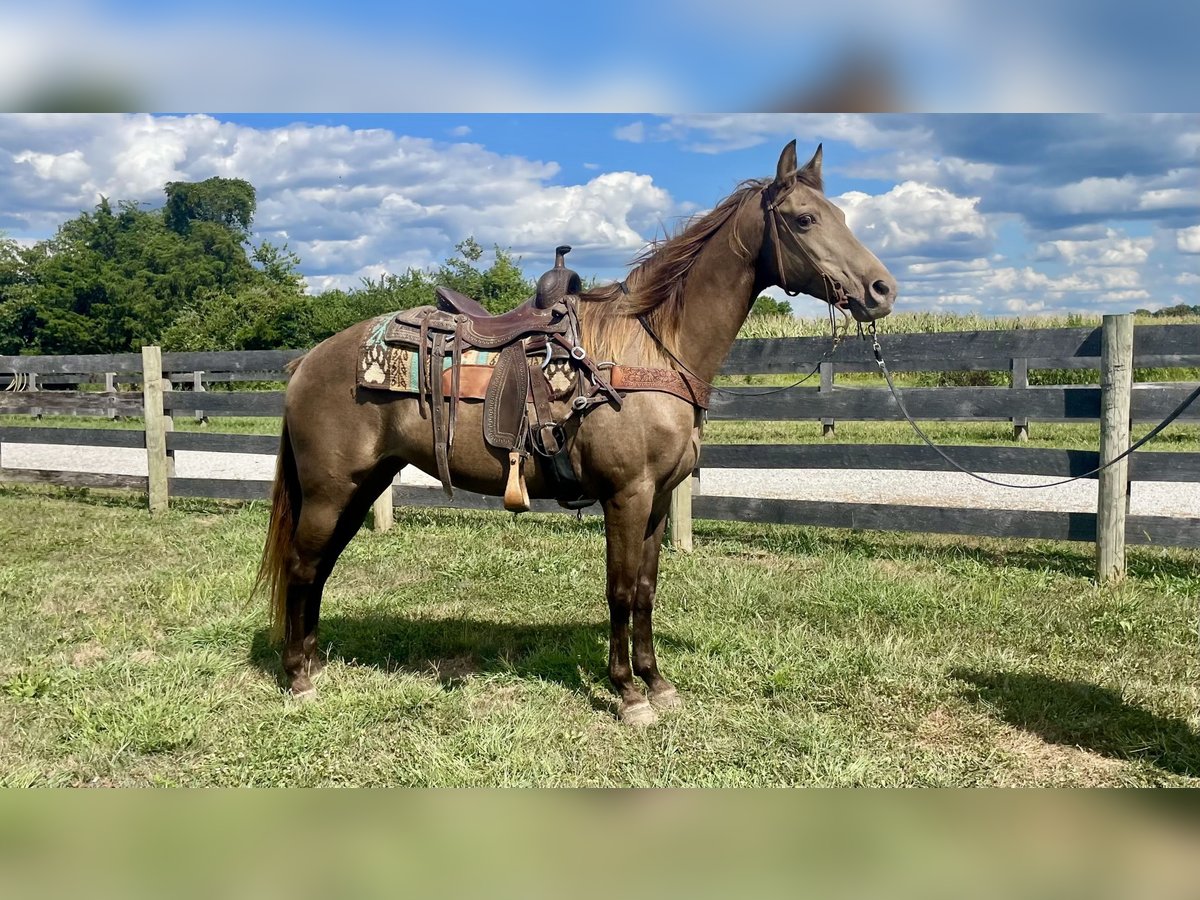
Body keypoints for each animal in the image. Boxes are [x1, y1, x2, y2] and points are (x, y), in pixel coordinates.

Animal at [256, 141, 897, 725]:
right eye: (804, 219)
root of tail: (308, 361)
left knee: (320, 567)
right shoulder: (626, 495)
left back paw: (313, 662)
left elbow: (646, 589)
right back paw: (298, 679)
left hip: (360, 487)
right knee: (303, 566)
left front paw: (657, 683)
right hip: (330, 489)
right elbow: (620, 591)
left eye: (842, 214)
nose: (882, 290)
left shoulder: (658, 499)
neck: (650, 349)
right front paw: (629, 695)